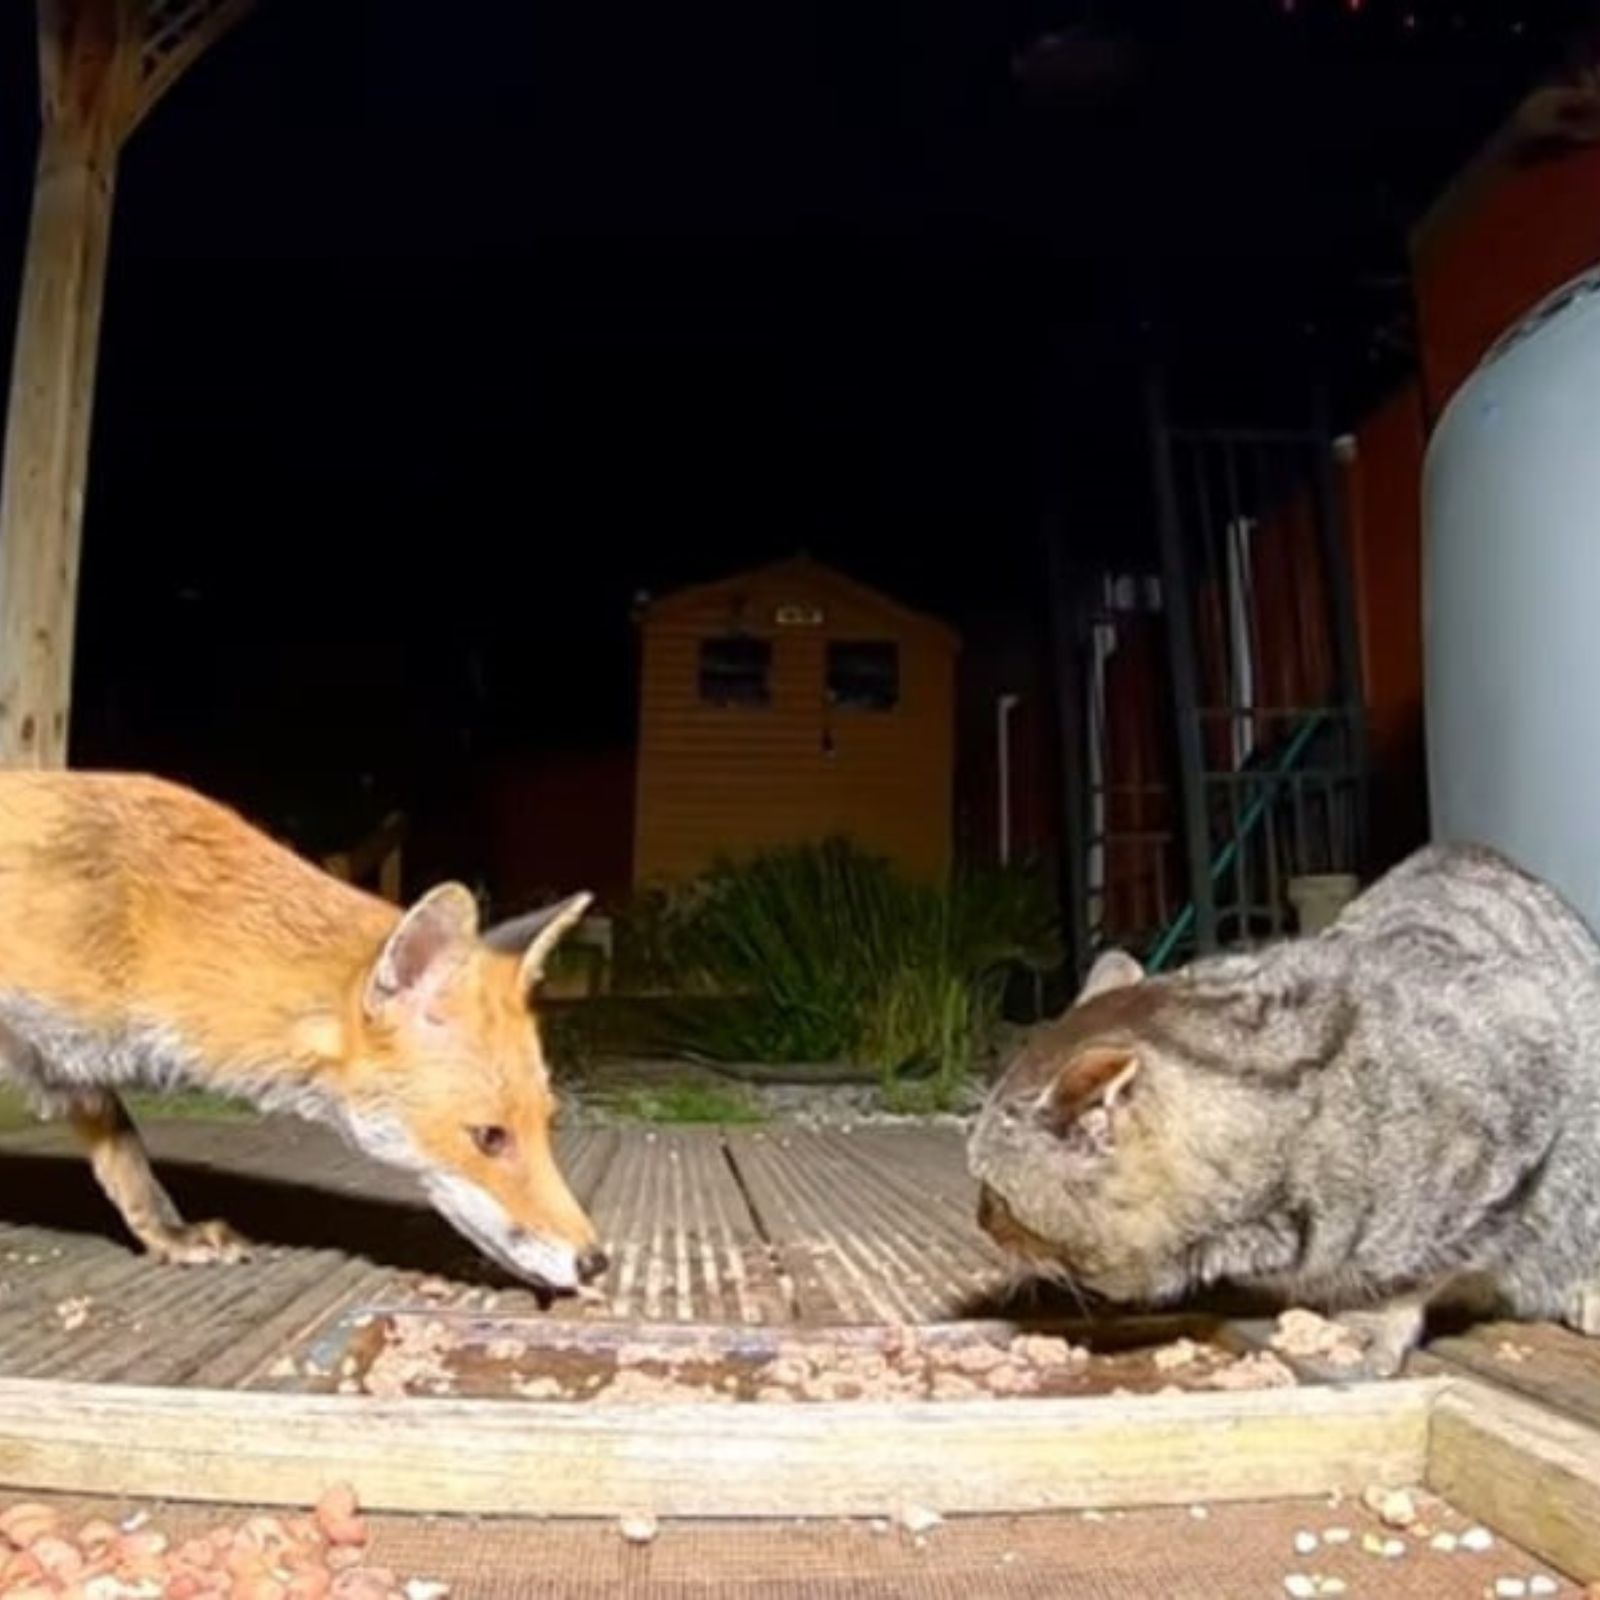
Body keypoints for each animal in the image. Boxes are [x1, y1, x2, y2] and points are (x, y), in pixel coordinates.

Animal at [0, 768, 608, 1292]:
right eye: (489, 1136)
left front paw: (168, 1233)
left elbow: (125, 1159)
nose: (595, 1262)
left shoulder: (60, 1060)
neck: (138, 930)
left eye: (547, 1122)